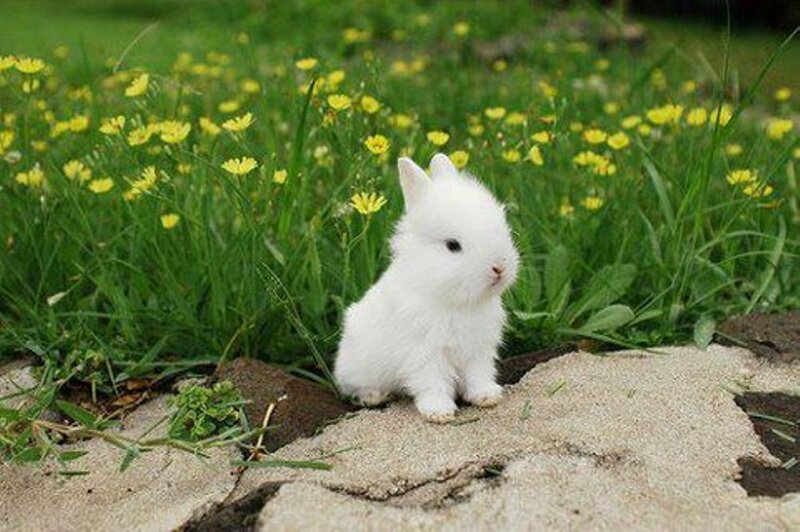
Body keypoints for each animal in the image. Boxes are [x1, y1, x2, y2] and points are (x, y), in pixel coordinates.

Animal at [334, 153, 520, 423]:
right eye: (453, 245)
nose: (499, 268)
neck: (454, 300)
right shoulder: (426, 353)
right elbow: (433, 383)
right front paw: (439, 413)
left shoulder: (478, 349)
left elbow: (479, 375)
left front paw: (487, 397)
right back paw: (373, 397)